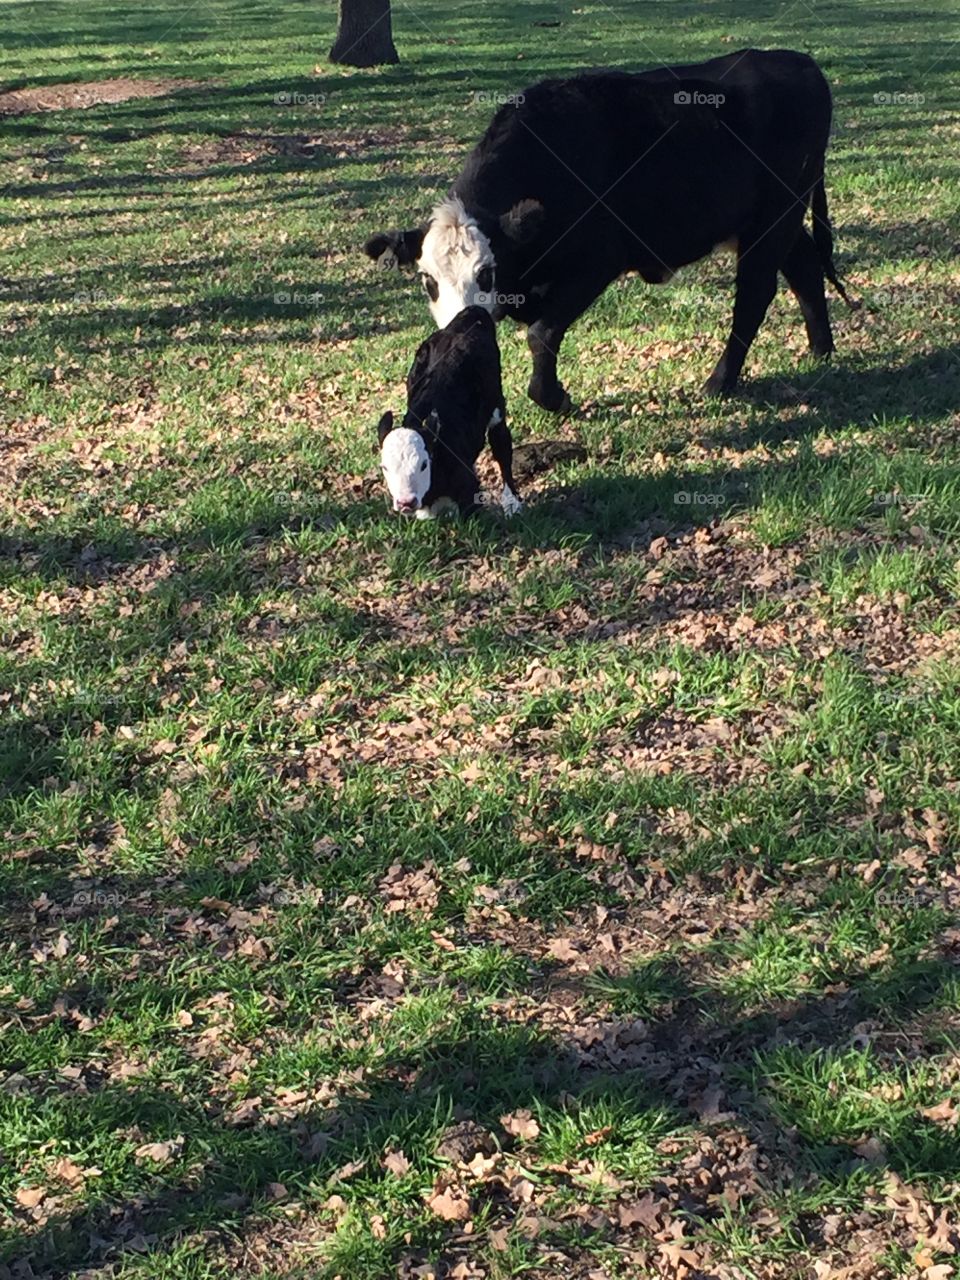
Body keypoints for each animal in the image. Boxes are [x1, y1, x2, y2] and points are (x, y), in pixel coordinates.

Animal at [363, 48, 855, 409]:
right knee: (805, 266)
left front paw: (554, 399)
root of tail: (798, 62)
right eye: (427, 280)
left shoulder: (598, 261)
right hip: (769, 220)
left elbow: (541, 332)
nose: (461, 327)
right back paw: (821, 352)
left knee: (755, 294)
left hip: (774, 218)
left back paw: (719, 383)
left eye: (487, 273)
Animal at [378, 307, 527, 522]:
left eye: (423, 464)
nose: (406, 502)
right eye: (385, 467)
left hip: (496, 406)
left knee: (502, 448)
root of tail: (469, 314)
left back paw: (512, 503)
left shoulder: (469, 492)